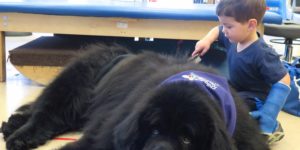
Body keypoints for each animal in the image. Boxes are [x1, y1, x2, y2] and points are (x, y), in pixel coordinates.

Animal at [1, 43, 270, 149]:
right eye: (154, 129)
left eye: (187, 139)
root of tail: (117, 52)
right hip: (70, 88)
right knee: (46, 112)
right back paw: (19, 135)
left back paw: (13, 123)